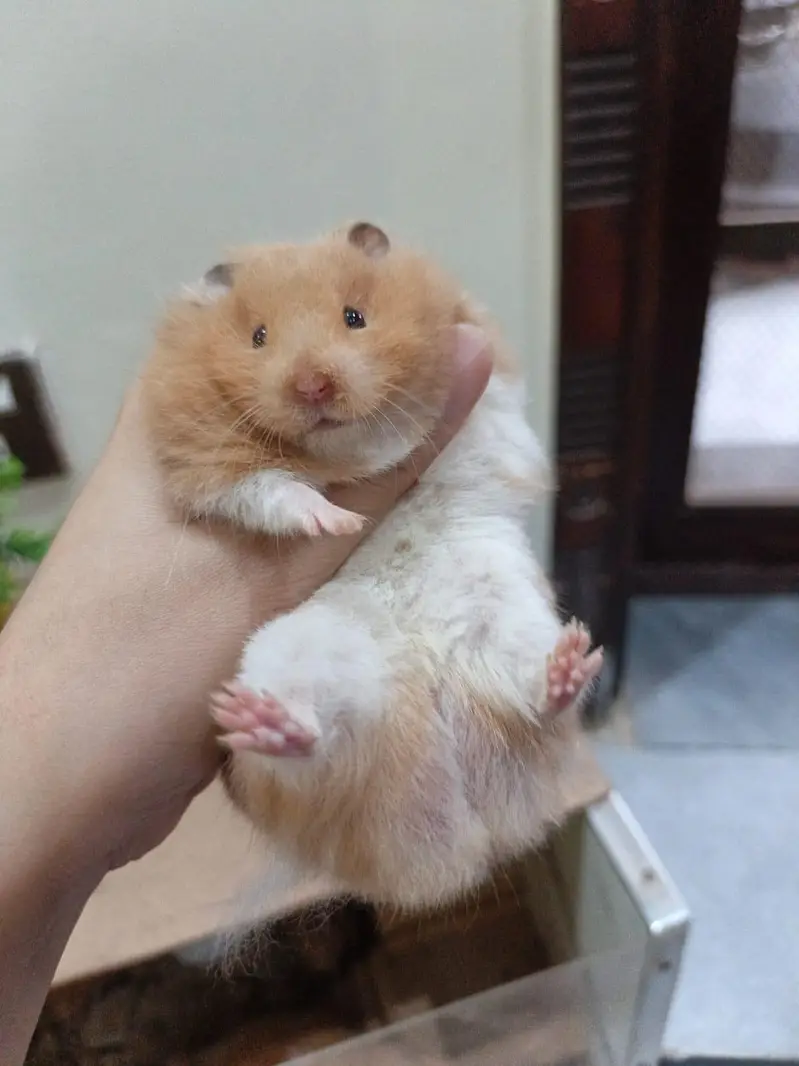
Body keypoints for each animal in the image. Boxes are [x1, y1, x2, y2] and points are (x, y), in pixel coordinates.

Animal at [143, 221, 603, 910]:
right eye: (258, 337)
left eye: (354, 317)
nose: (312, 386)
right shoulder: (207, 465)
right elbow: (274, 491)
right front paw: (340, 523)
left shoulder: (487, 379)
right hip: (304, 655)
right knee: (311, 747)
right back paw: (266, 723)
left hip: (504, 611)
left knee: (534, 693)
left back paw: (569, 664)